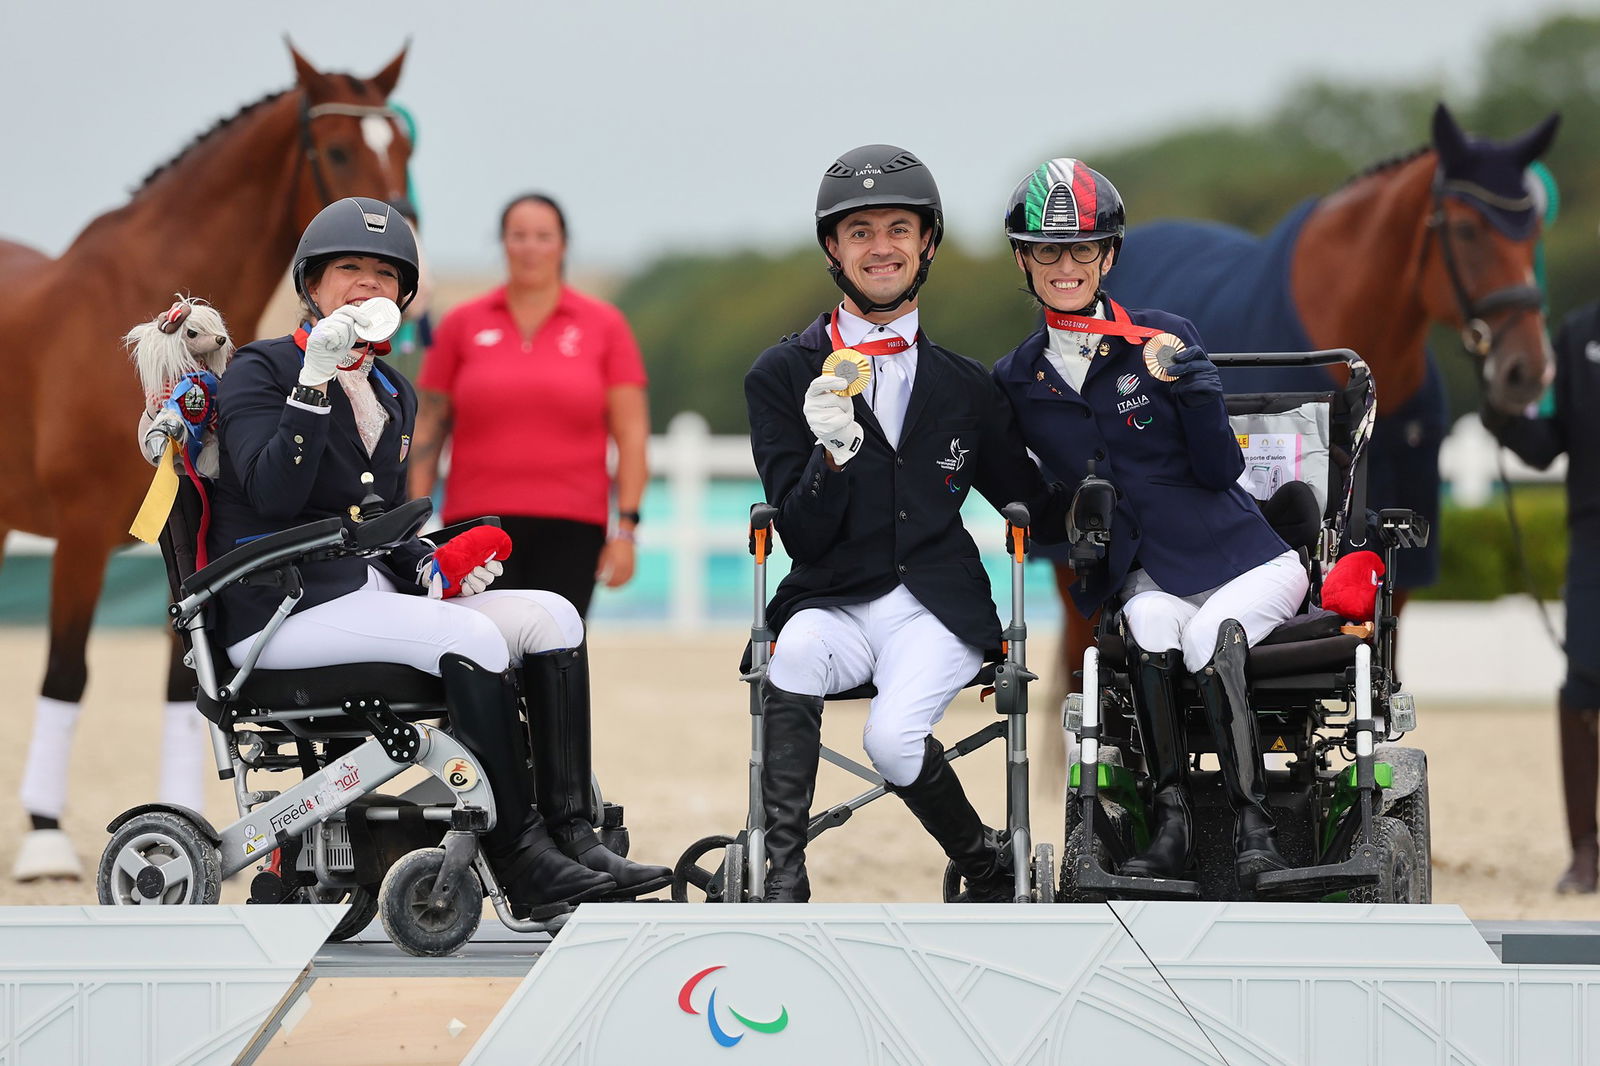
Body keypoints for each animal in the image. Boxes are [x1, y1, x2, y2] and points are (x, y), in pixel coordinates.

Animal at [0, 45, 419, 877]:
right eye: (336, 151)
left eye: (403, 145)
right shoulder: (82, 533)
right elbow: (66, 671)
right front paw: (45, 838)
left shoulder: (186, 550)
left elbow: (182, 686)